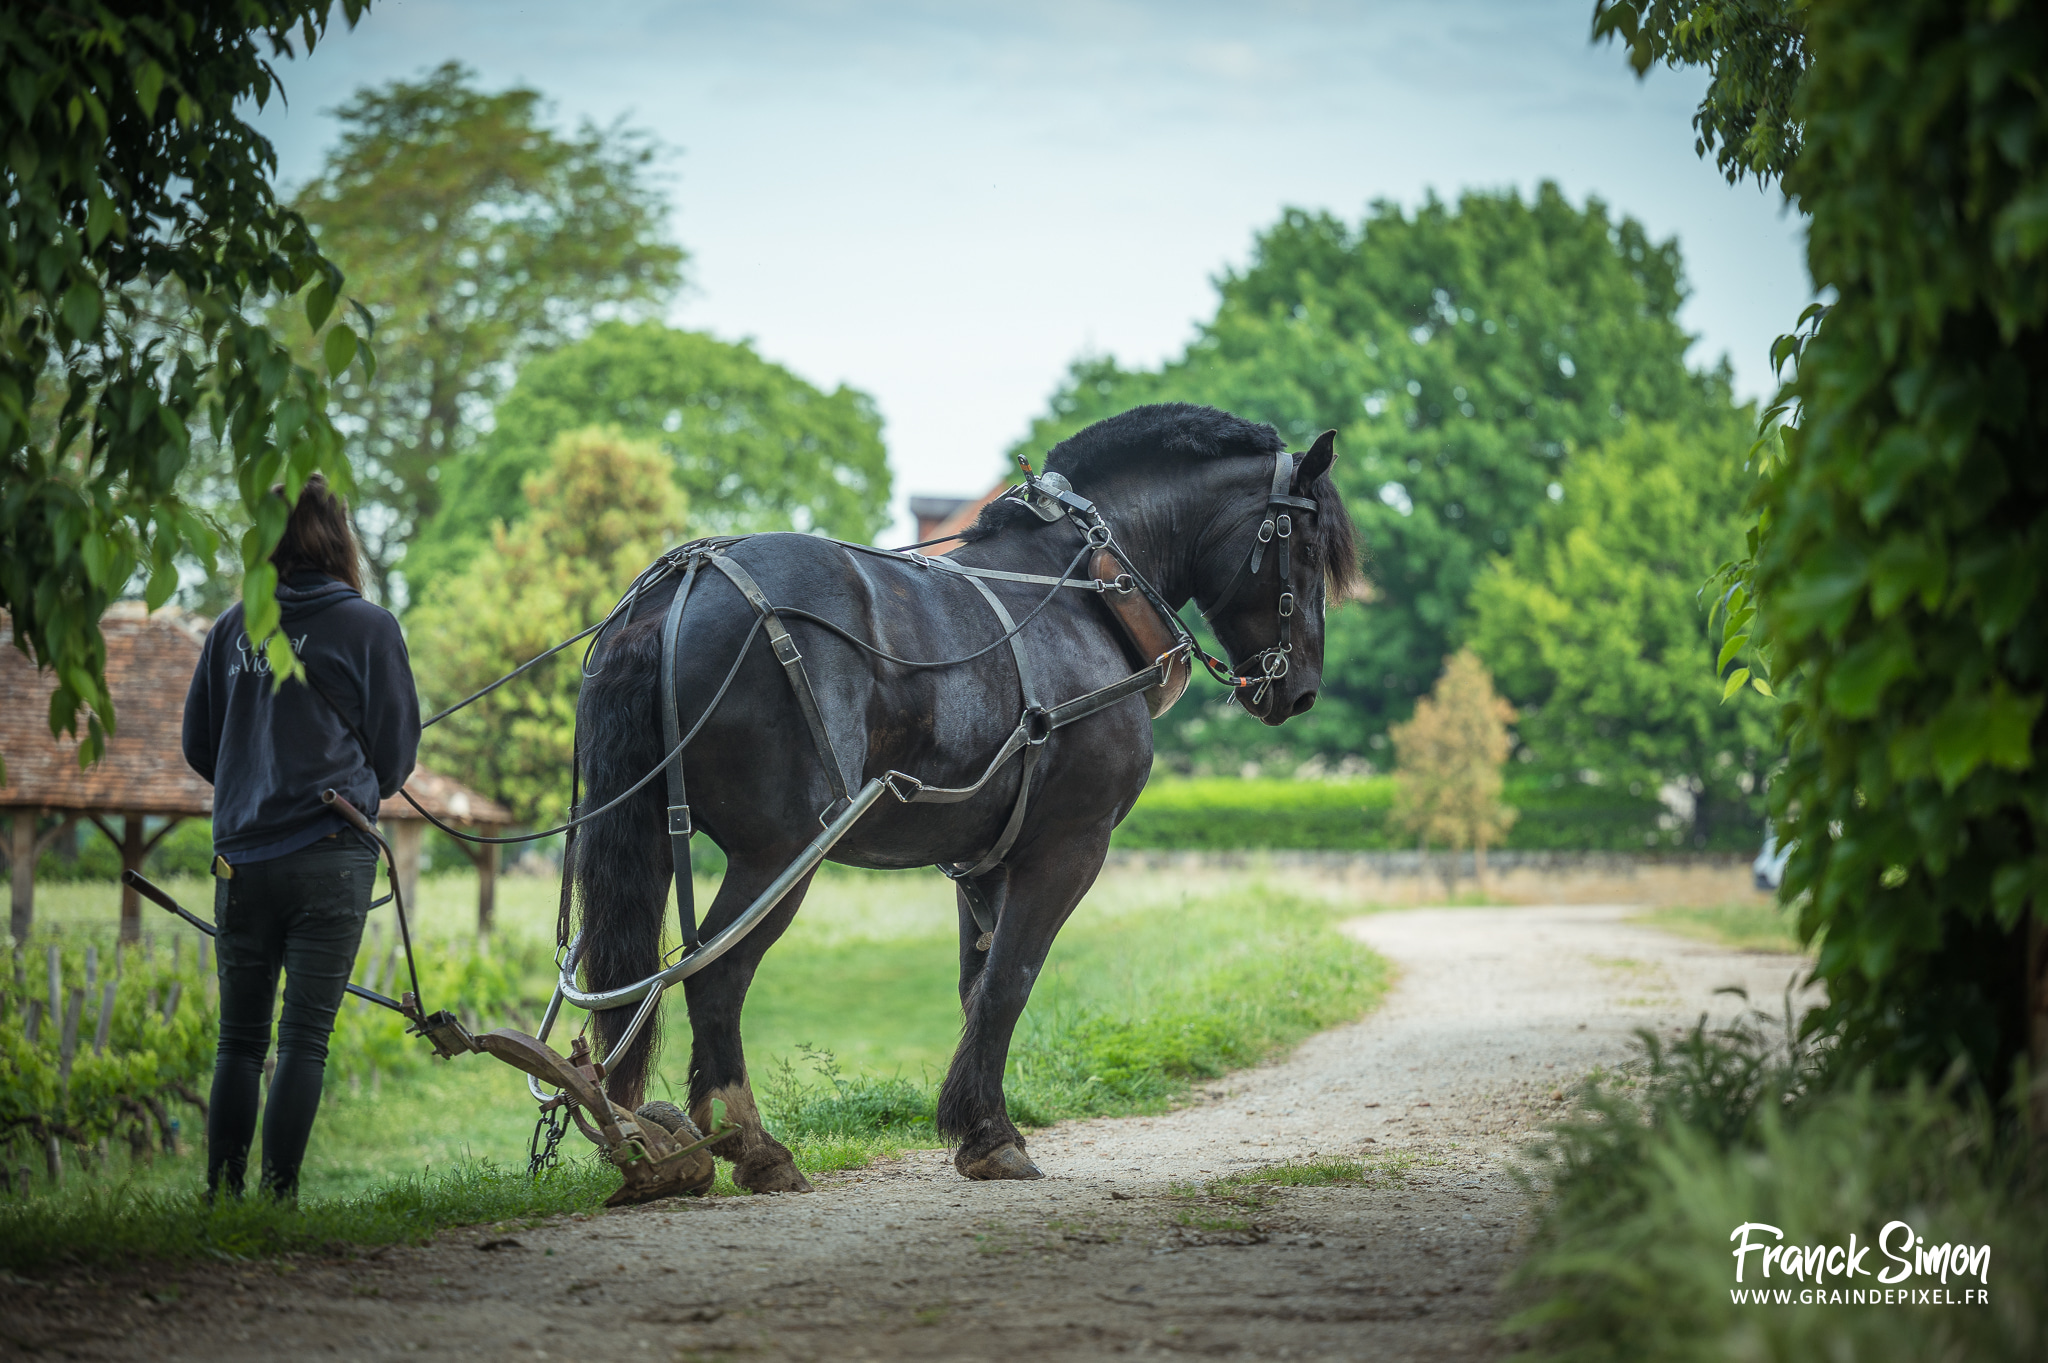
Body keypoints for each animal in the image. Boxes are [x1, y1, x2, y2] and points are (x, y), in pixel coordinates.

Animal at [570, 402, 1357, 1191]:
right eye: (1308, 545)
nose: (1301, 688)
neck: (1086, 591)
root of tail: (680, 588)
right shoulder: (1069, 845)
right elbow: (1012, 979)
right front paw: (993, 1134)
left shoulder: (981, 860)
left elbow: (977, 988)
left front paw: (977, 1126)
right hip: (780, 854)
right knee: (714, 973)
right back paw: (750, 1142)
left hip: (653, 836)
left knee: (635, 977)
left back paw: (646, 1137)